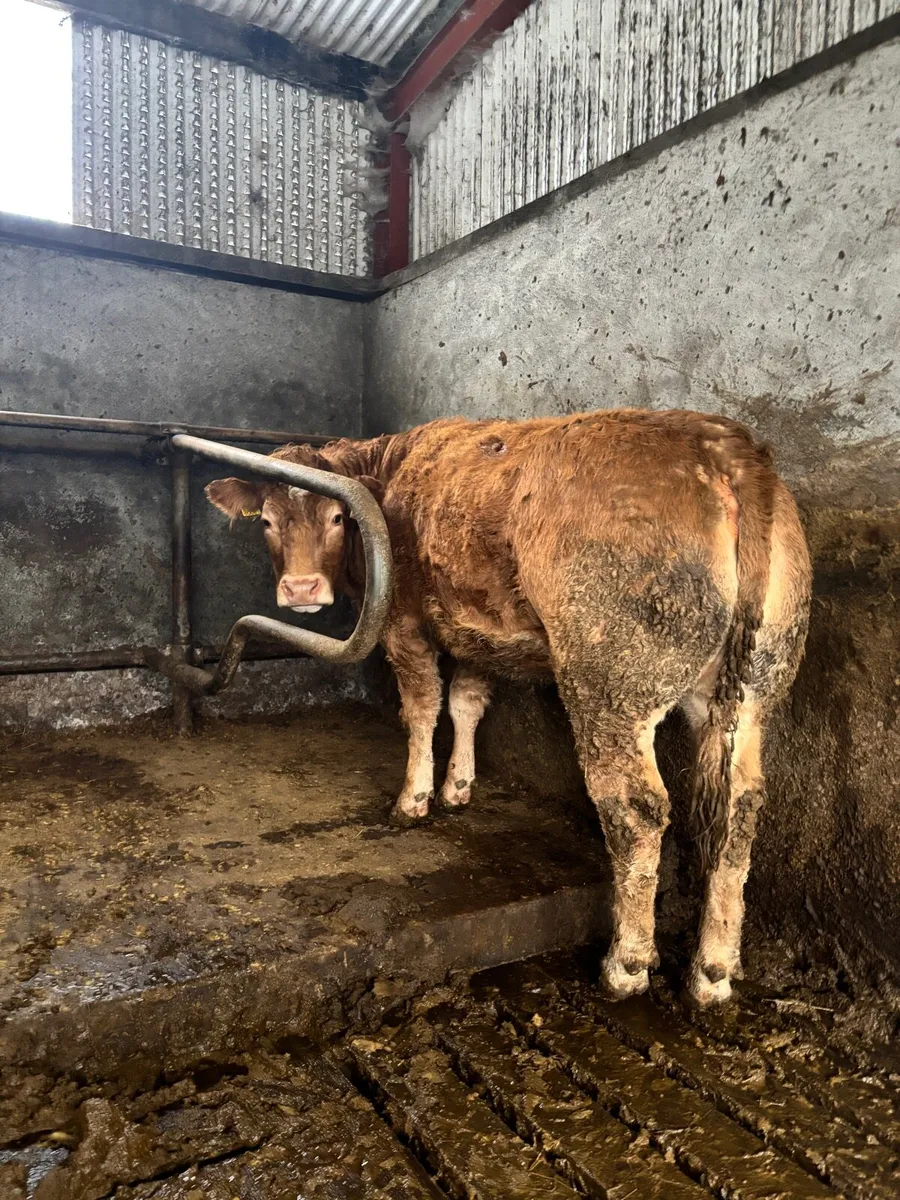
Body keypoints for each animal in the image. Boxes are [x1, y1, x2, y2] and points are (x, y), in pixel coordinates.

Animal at [206, 410, 811, 1007]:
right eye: (267, 521)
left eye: (337, 517)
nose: (301, 588)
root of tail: (720, 443)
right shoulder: (479, 630)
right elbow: (466, 703)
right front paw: (458, 786)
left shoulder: (401, 622)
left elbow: (423, 707)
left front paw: (413, 799)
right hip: (753, 688)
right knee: (741, 808)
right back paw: (713, 971)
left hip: (611, 683)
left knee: (635, 811)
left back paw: (626, 966)